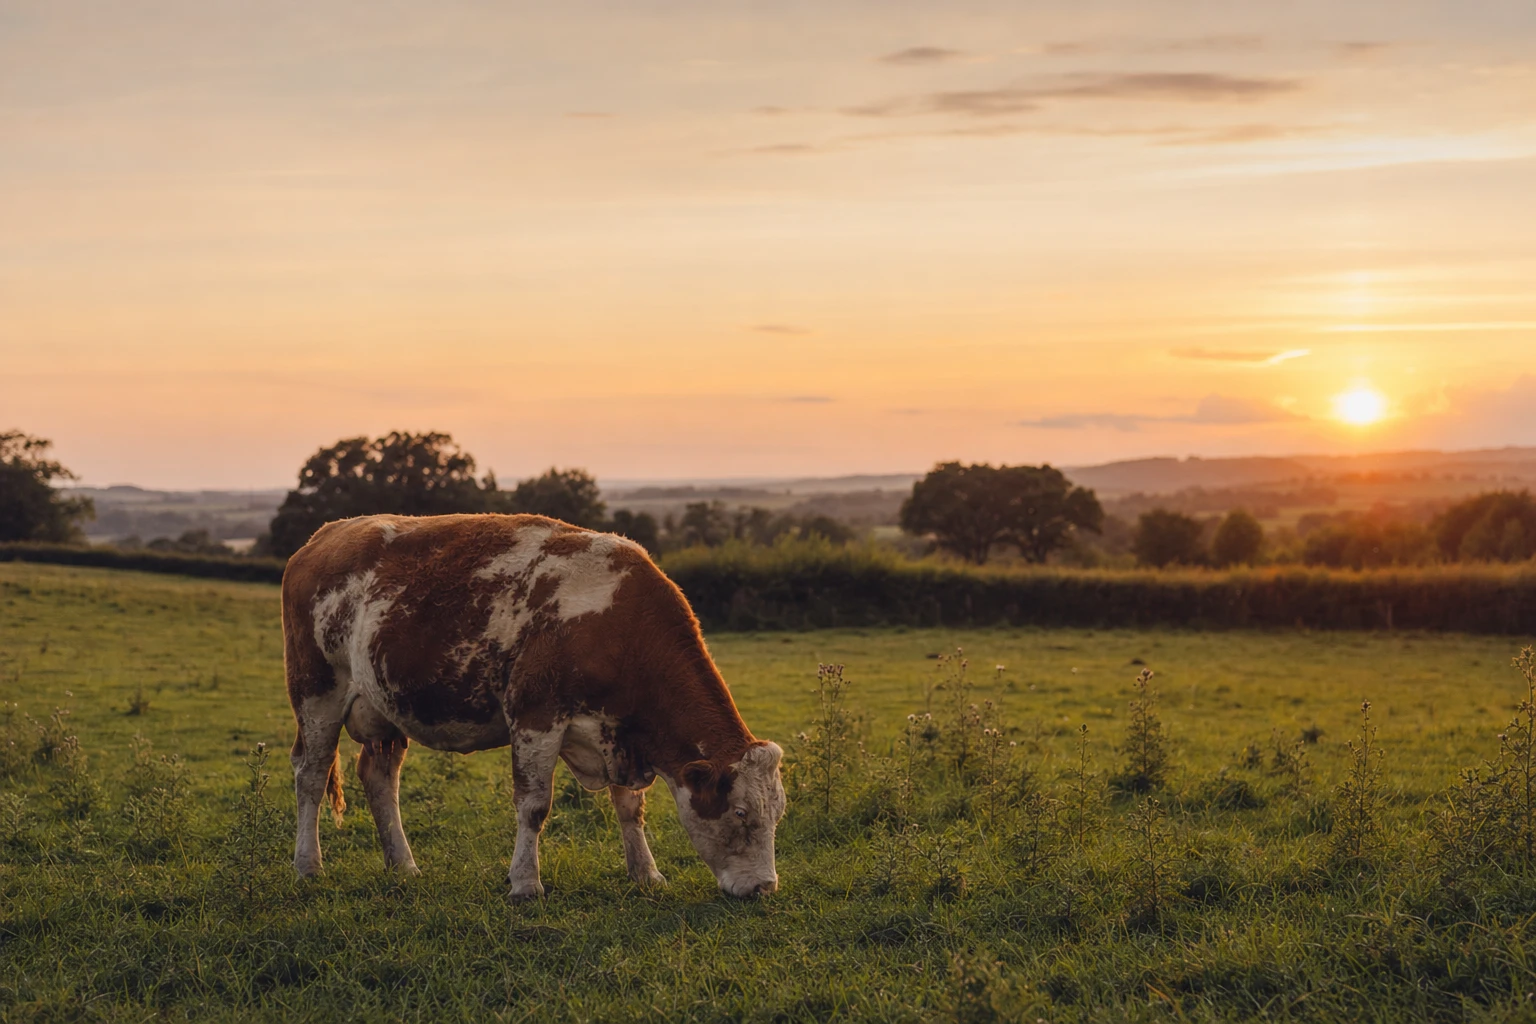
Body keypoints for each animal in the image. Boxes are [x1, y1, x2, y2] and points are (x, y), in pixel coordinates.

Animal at [281, 513, 785, 898]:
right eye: (741, 813)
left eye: (778, 813)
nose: (764, 887)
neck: (618, 626)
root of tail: (325, 535)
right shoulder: (535, 716)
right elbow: (534, 806)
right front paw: (525, 883)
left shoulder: (619, 732)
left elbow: (630, 807)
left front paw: (646, 873)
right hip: (316, 691)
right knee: (312, 774)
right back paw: (308, 865)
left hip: (382, 706)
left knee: (380, 779)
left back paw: (403, 865)